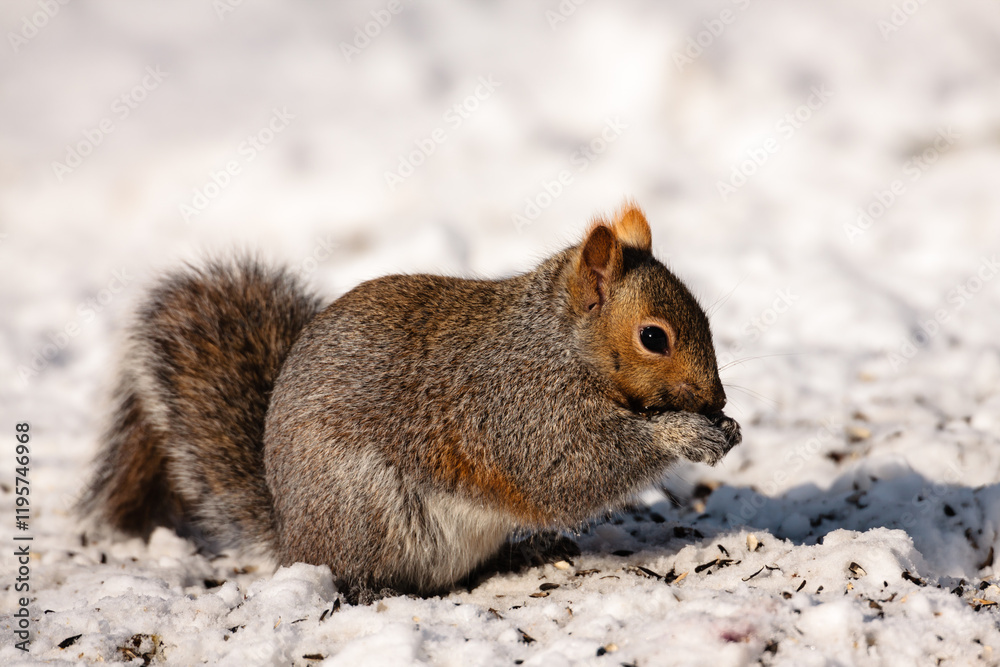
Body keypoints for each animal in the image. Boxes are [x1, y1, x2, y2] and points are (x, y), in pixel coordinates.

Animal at [80, 203, 741, 603]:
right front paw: (687, 434)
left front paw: (724, 426)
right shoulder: (515, 409)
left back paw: (523, 555)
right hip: (365, 507)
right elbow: (566, 471)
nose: (717, 398)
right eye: (653, 337)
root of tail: (291, 538)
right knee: (355, 573)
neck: (555, 345)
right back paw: (377, 590)